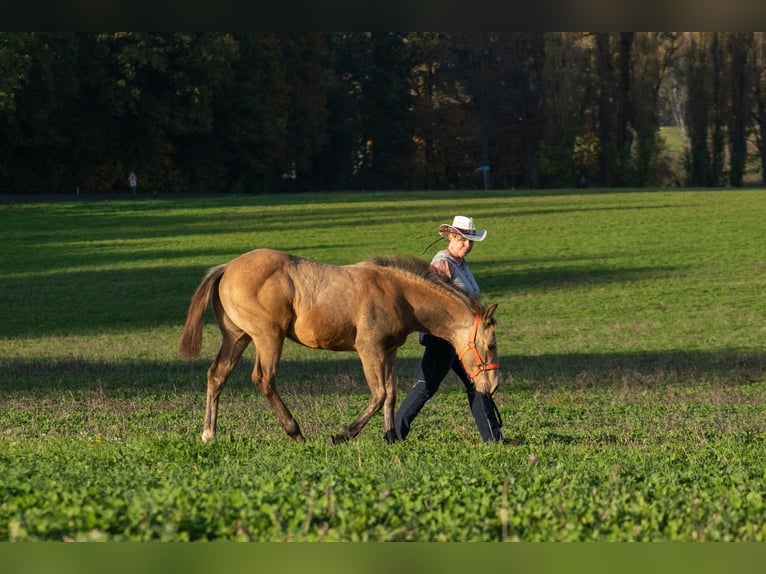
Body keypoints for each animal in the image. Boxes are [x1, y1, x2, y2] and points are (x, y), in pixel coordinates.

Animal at [181, 249, 504, 446]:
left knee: (217, 375)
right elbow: (379, 394)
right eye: (490, 344)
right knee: (263, 379)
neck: (398, 293)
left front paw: (390, 435)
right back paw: (295, 432)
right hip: (268, 336)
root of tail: (226, 268)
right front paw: (342, 435)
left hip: (237, 336)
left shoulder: (389, 351)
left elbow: (391, 394)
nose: (492, 386)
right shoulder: (369, 349)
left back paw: (209, 433)